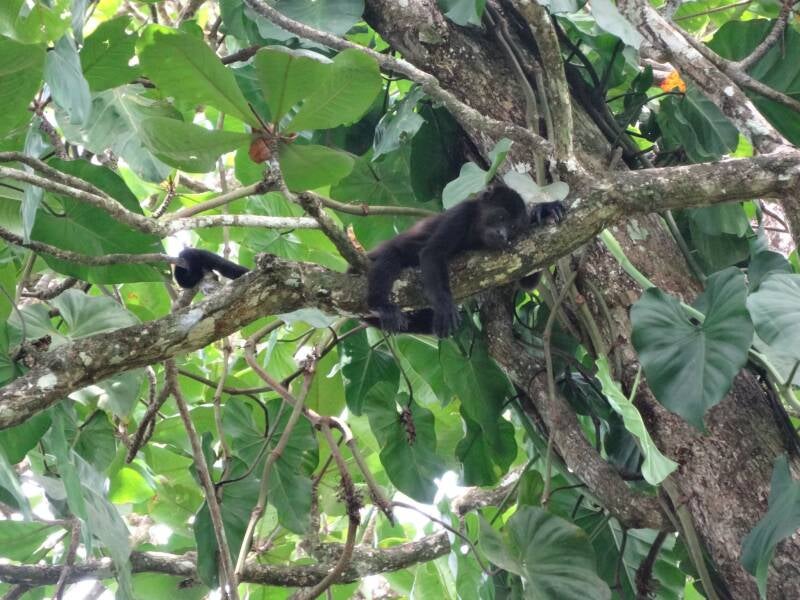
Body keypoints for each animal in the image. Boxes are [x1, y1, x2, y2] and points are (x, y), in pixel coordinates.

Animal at [172, 184, 565, 337]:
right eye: (499, 217)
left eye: (513, 228)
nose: (503, 236)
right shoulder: (462, 214)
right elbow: (432, 253)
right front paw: (445, 305)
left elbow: (525, 278)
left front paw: (543, 211)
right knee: (391, 259)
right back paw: (383, 304)